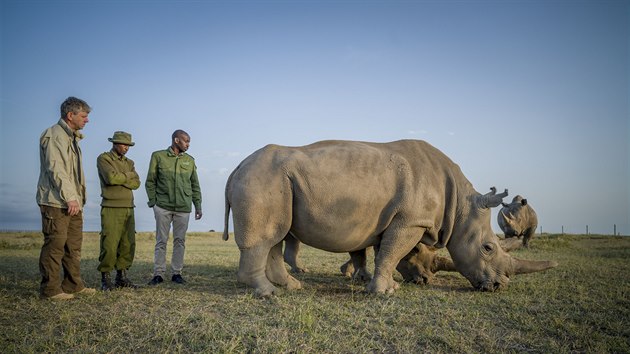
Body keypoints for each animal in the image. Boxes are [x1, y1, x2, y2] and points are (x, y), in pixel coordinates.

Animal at [225, 138, 560, 296]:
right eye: (488, 248)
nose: (499, 286)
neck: (460, 206)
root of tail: (236, 167)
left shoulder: (394, 219)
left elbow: (385, 252)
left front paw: (384, 284)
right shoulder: (411, 220)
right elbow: (391, 252)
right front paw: (385, 292)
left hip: (273, 180)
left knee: (277, 236)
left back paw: (292, 287)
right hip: (262, 179)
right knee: (267, 237)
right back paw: (267, 293)